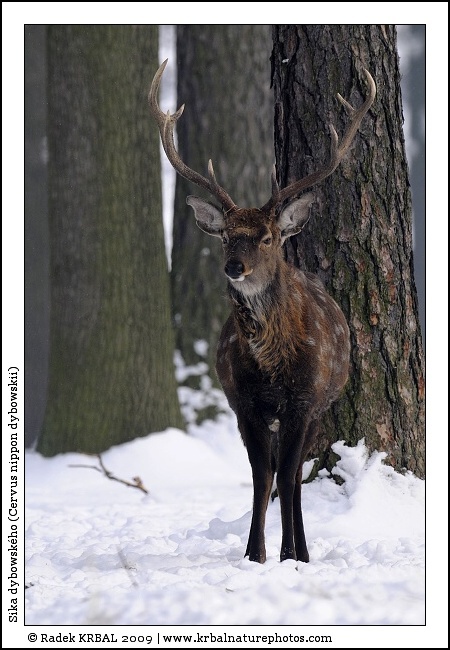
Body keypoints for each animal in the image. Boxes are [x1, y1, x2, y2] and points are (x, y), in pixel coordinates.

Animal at [149, 59, 376, 564]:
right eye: (226, 235)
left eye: (268, 237)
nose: (235, 266)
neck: (272, 366)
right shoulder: (243, 402)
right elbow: (260, 476)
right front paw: (255, 553)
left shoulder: (303, 399)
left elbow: (287, 475)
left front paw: (290, 554)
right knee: (280, 473)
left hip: (321, 406)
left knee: (297, 476)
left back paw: (303, 549)